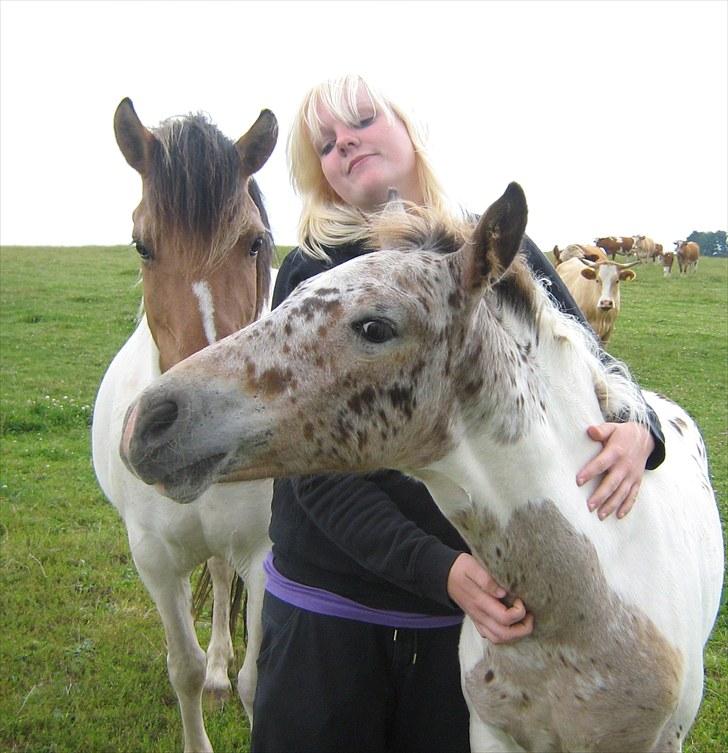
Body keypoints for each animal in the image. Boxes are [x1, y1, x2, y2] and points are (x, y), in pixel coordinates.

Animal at [89, 98, 276, 752]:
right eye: (142, 246)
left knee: (219, 577)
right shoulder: (153, 560)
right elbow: (185, 670)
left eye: (254, 243)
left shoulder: (265, 554)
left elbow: (256, 682)